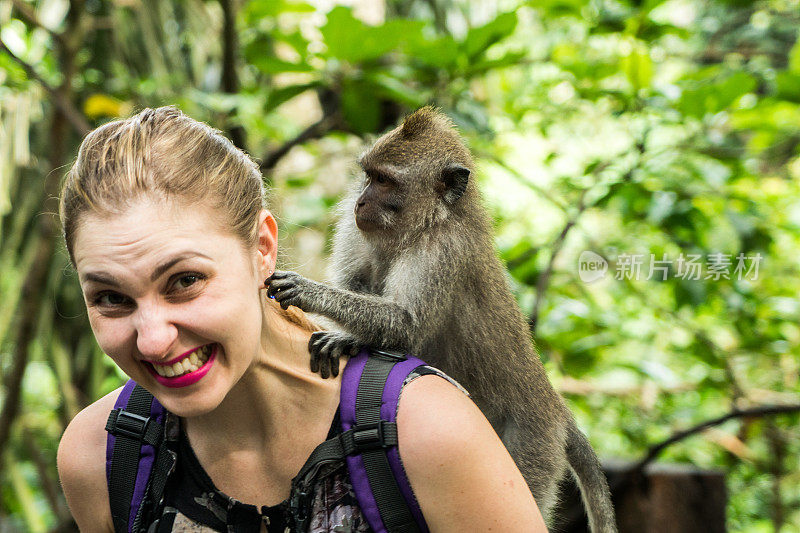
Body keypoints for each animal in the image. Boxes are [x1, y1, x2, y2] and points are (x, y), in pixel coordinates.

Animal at [266, 106, 616, 528]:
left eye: (385, 181)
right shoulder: (357, 229)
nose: (361, 202)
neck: (427, 222)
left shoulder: (441, 250)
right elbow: (361, 287)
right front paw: (347, 337)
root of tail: (554, 408)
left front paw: (308, 292)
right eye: (368, 176)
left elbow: (405, 322)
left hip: (532, 445)